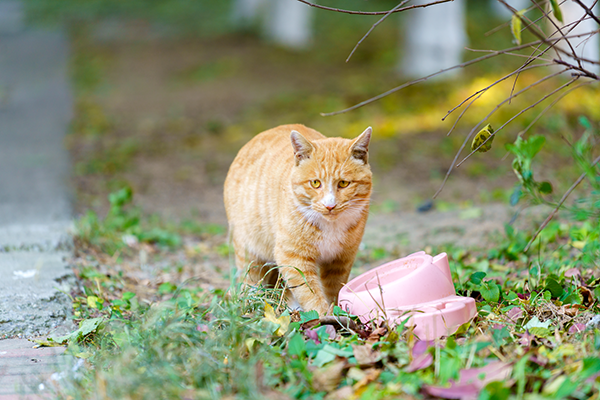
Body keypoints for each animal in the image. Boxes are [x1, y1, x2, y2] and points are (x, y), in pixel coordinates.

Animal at [224, 124, 372, 315]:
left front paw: (334, 312)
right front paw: (323, 315)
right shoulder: (293, 256)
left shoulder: (341, 260)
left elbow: (333, 290)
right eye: (315, 183)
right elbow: (309, 292)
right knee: (250, 280)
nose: (330, 205)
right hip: (249, 251)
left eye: (344, 183)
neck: (331, 226)